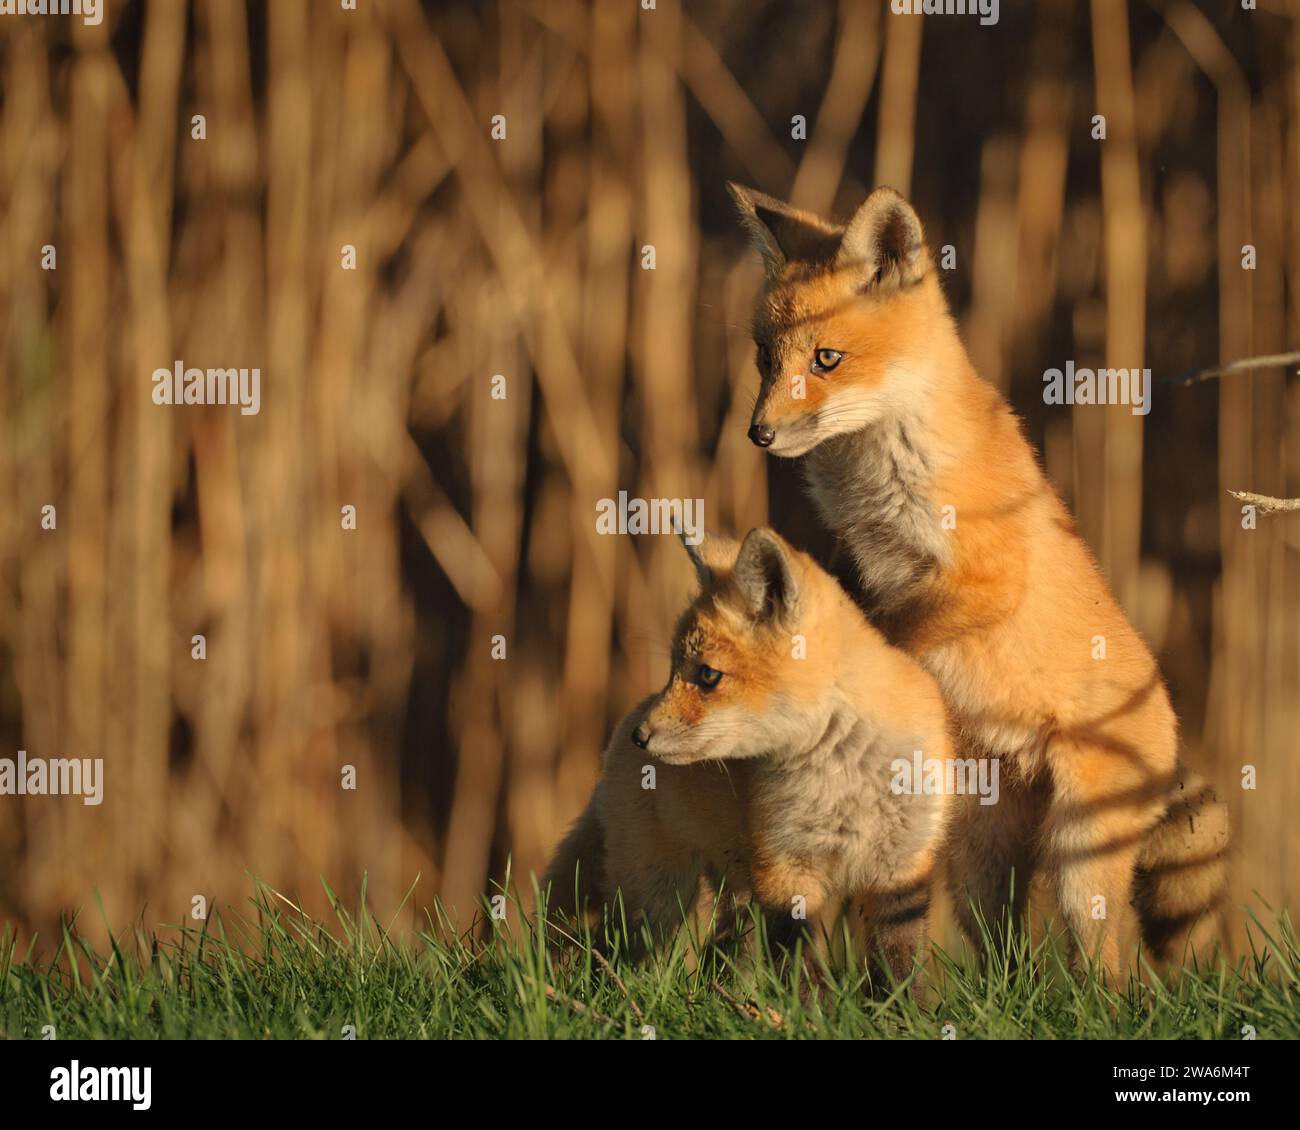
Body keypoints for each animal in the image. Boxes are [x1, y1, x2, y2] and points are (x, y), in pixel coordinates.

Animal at [544, 527, 956, 987]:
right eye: (674, 670)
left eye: (708, 675)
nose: (641, 737)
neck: (846, 777)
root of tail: (623, 724)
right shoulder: (783, 870)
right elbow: (803, 973)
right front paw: (811, 1006)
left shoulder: (903, 869)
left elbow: (900, 971)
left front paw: (898, 1006)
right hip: (655, 898)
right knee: (613, 949)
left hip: (732, 899)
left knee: (715, 958)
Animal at [727, 181, 1228, 977]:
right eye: (765, 358)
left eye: (828, 359)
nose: (759, 434)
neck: (874, 475)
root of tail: (1170, 731)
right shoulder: (864, 560)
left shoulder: (983, 577)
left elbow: (892, 633)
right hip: (976, 848)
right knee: (1003, 954)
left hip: (1080, 857)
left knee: (1107, 968)